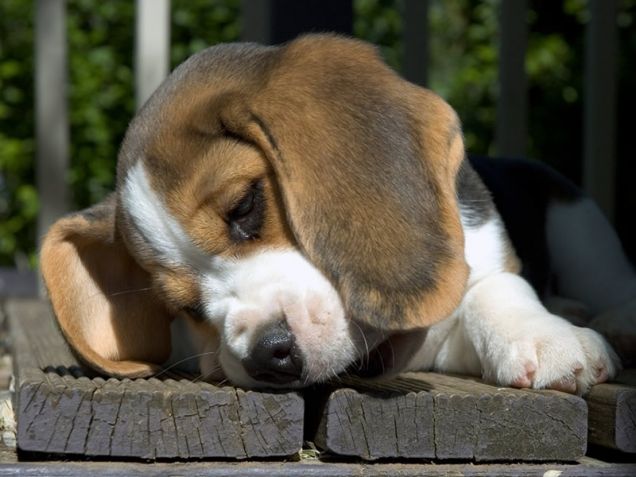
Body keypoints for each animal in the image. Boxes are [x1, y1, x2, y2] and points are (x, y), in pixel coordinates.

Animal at [37, 34, 624, 394]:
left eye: (245, 206)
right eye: (185, 309)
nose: (267, 356)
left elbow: (496, 288)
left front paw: (547, 336)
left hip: (584, 230)